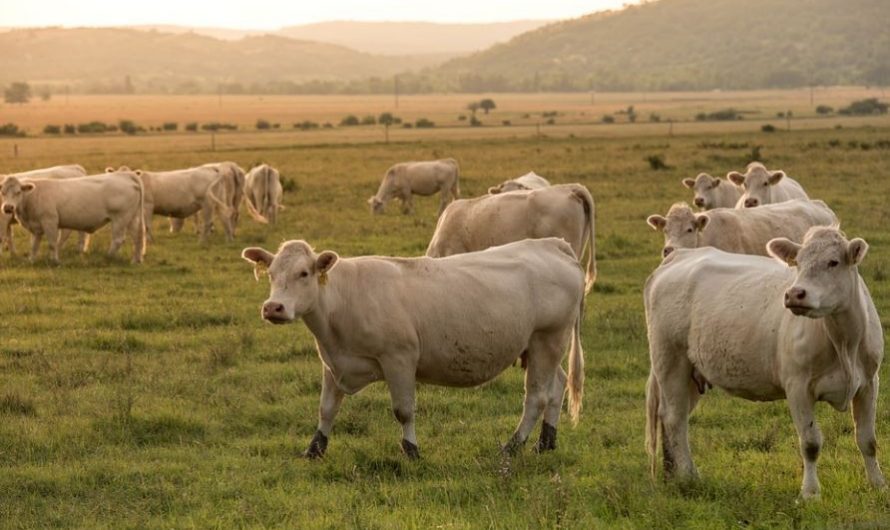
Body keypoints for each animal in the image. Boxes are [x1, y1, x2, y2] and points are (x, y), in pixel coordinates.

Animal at [0, 170, 145, 263]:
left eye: (18, 192)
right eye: (2, 192)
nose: (8, 208)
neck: (33, 196)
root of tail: (126, 175)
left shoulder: (50, 221)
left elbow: (52, 243)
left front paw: (54, 261)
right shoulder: (36, 227)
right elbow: (34, 245)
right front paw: (31, 260)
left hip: (120, 219)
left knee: (118, 239)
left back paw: (107, 257)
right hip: (132, 218)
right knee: (137, 237)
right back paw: (135, 260)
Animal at [241, 238, 585, 459]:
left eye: (304, 273)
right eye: (271, 274)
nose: (273, 308)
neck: (343, 299)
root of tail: (552, 244)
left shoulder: (399, 359)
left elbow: (403, 411)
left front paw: (411, 451)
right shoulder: (333, 363)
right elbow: (326, 409)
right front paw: (314, 448)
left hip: (547, 339)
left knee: (537, 397)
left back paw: (512, 446)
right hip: (541, 347)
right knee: (557, 387)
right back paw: (545, 443)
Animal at [644, 226, 885, 499]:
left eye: (833, 262)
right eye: (798, 262)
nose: (794, 294)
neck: (844, 342)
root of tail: (679, 256)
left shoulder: (869, 383)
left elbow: (867, 439)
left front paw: (878, 484)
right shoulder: (798, 387)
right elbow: (810, 443)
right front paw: (810, 493)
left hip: (691, 373)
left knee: (675, 416)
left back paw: (674, 474)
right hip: (670, 359)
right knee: (674, 418)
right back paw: (688, 476)